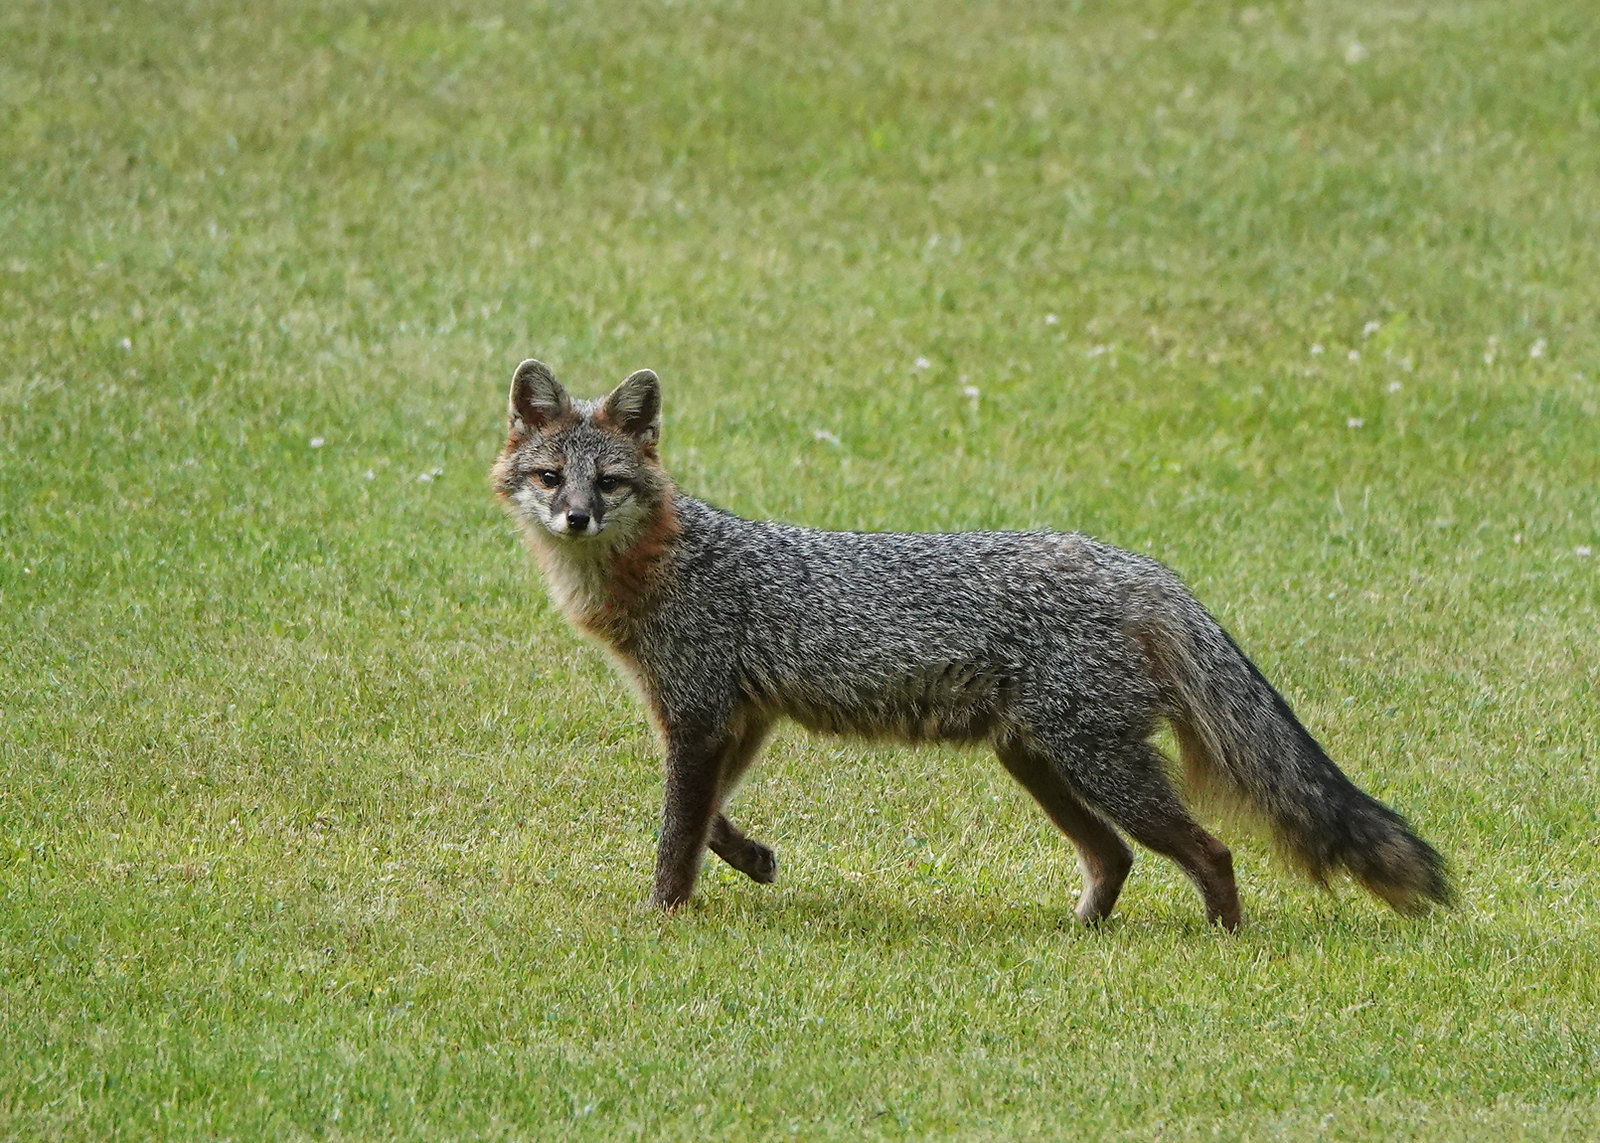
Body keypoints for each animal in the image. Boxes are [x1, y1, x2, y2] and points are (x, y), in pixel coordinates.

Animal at [490, 358, 1453, 929]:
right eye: (551, 476)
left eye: (609, 483)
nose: (575, 517)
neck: (667, 563)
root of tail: (1139, 565)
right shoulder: (737, 718)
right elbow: (710, 820)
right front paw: (755, 860)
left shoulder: (695, 715)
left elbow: (675, 833)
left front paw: (662, 916)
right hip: (1038, 761)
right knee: (1117, 855)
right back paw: (1082, 931)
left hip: (1098, 764)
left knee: (1207, 849)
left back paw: (1225, 936)